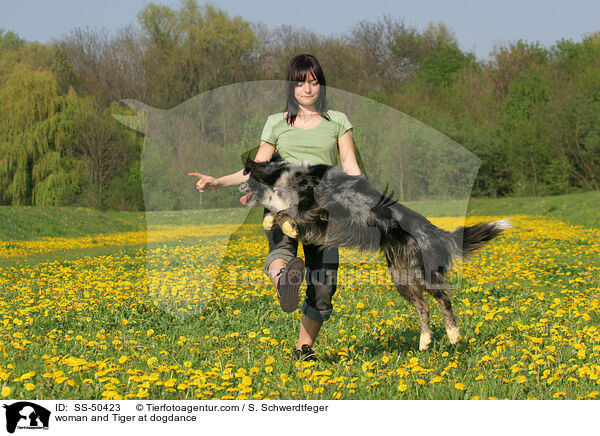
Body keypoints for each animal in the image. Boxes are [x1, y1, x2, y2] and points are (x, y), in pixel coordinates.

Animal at [237, 153, 508, 350]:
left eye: (247, 178)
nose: (237, 186)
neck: (281, 177)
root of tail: (434, 231)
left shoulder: (321, 207)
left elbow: (290, 211)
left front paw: (284, 223)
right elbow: (284, 214)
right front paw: (275, 222)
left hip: (422, 272)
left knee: (444, 299)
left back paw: (453, 334)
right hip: (401, 277)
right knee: (423, 306)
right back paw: (425, 341)